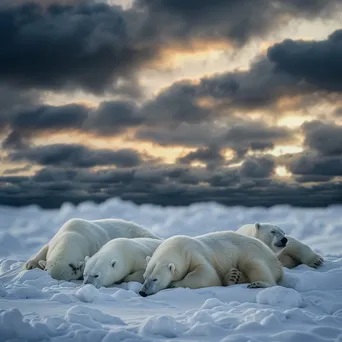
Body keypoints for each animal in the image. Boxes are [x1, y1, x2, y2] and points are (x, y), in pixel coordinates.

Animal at [139, 232, 284, 296]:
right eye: (144, 277)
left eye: (155, 279)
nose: (142, 292)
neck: (177, 247)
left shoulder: (193, 253)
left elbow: (206, 275)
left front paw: (174, 284)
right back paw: (232, 276)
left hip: (251, 251)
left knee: (253, 264)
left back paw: (259, 283)